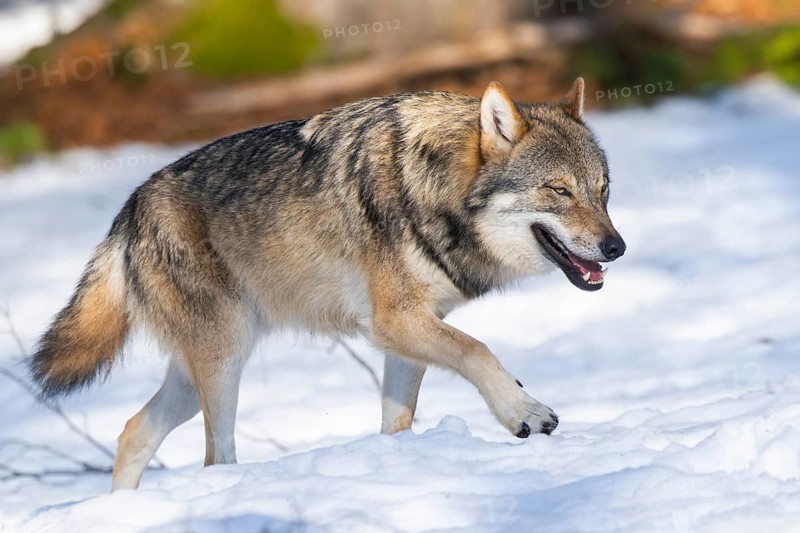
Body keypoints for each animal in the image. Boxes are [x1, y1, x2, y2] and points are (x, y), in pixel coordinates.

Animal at [28, 78, 625, 490]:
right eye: (559, 190)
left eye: (602, 190)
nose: (616, 248)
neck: (432, 190)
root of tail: (129, 209)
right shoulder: (394, 322)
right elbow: (479, 351)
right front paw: (523, 411)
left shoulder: (410, 333)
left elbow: (398, 420)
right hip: (223, 365)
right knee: (213, 457)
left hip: (199, 375)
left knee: (133, 431)